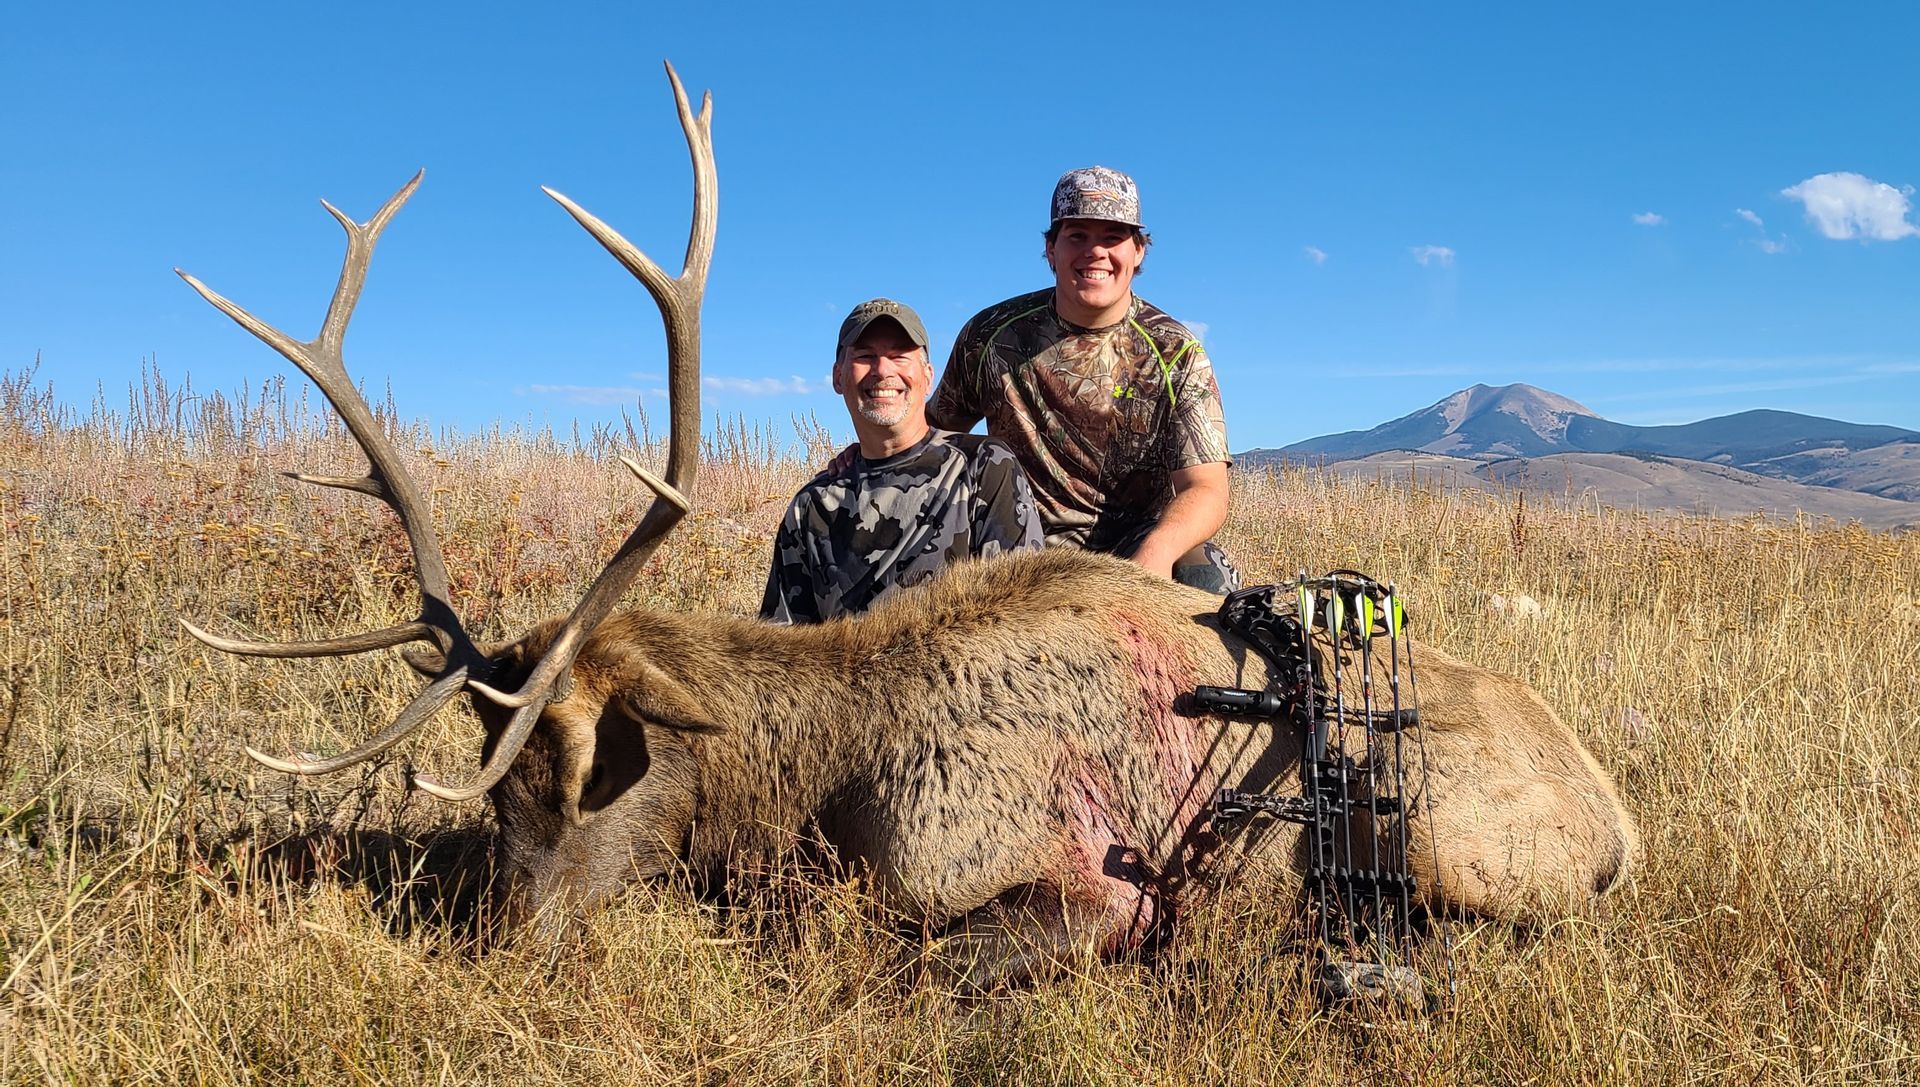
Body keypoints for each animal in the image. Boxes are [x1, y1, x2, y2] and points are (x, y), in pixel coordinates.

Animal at [178, 64, 1637, 991]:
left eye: (588, 764)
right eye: (493, 784)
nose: (508, 946)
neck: (821, 771)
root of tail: (1618, 813)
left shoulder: (1086, 879)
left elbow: (884, 951)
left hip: (1446, 827)